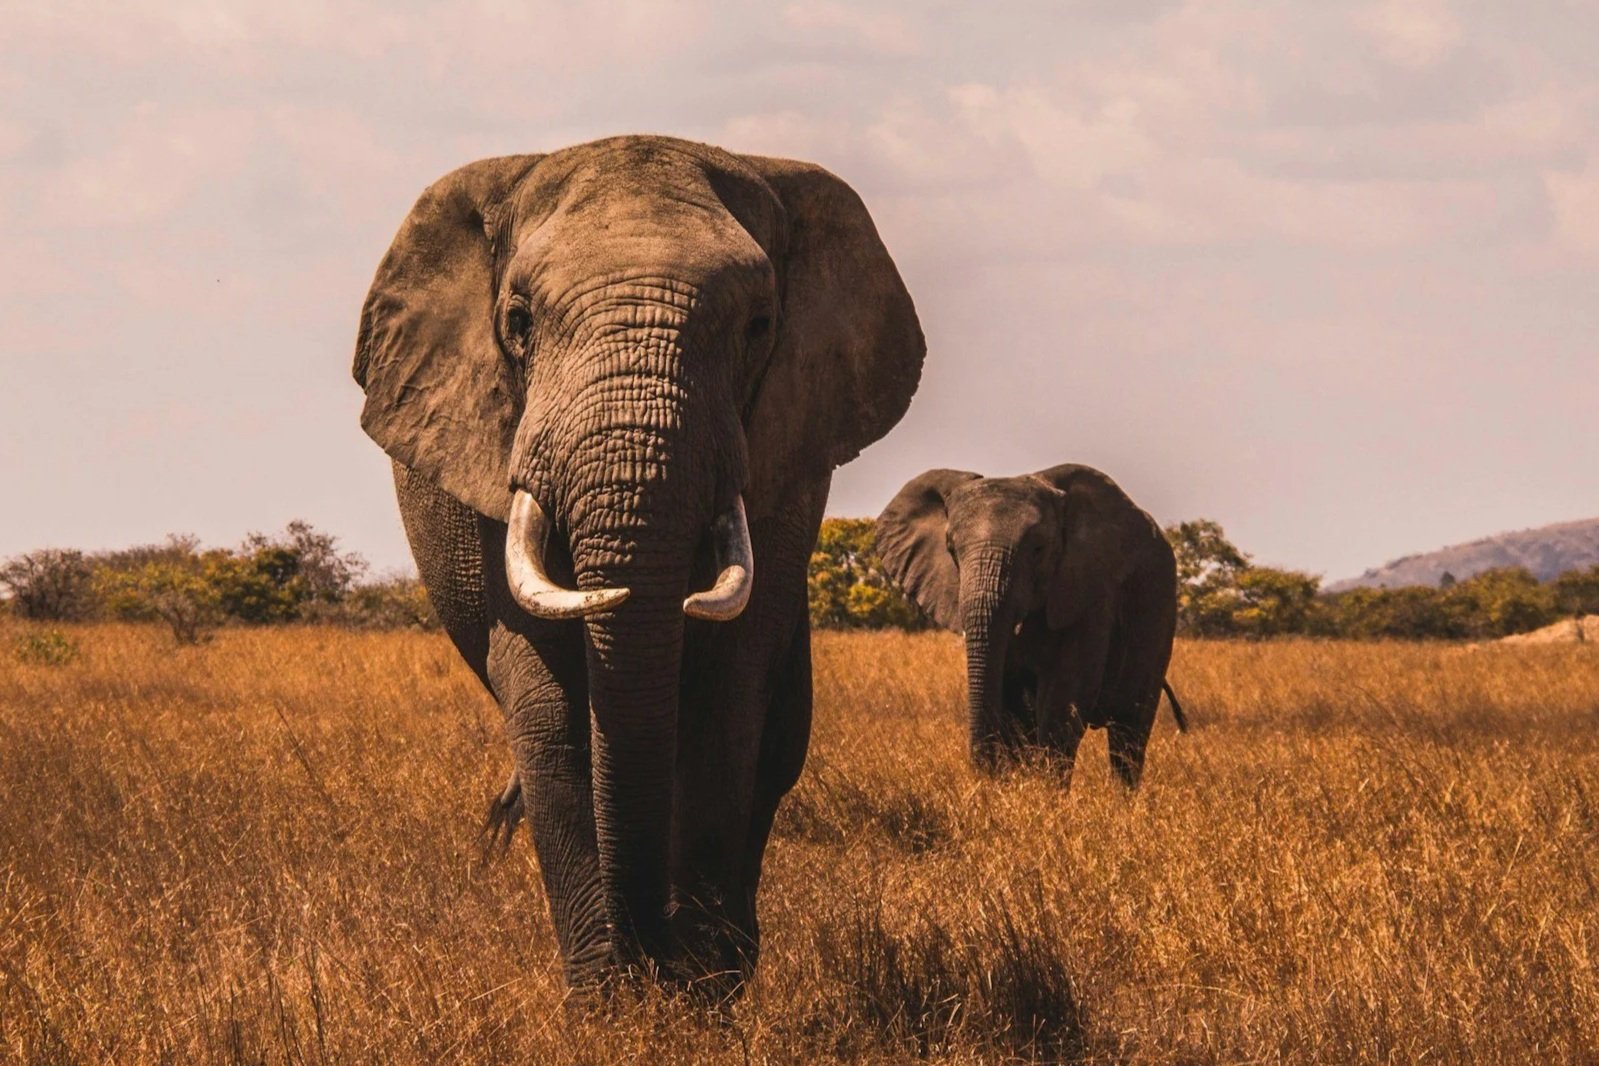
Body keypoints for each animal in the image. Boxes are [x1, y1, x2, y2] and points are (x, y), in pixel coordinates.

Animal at [353, 136, 924, 995]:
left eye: (759, 325)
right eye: (518, 323)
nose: (648, 954)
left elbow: (727, 696)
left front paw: (700, 991)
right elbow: (550, 708)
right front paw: (610, 999)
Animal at [875, 465, 1186, 786]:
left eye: (1038, 549)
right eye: (951, 548)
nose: (984, 773)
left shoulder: (1091, 594)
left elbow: (1063, 701)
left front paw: (1047, 793)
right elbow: (1012, 703)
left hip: (1160, 616)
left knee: (1129, 733)